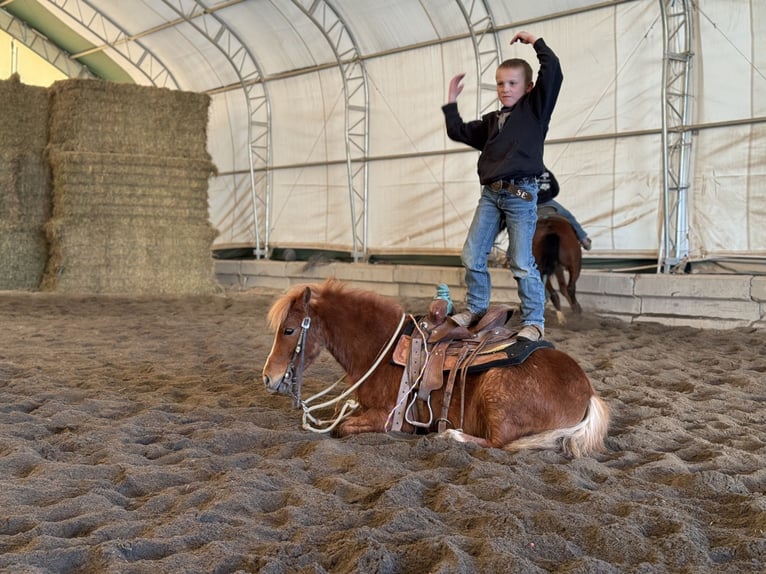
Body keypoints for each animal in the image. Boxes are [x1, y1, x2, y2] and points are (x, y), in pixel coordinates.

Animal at [262, 279, 609, 457]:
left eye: (289, 330)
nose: (268, 377)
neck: (381, 347)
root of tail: (587, 392)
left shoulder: (389, 418)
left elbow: (342, 428)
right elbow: (340, 414)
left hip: (496, 396)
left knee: (499, 443)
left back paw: (449, 436)